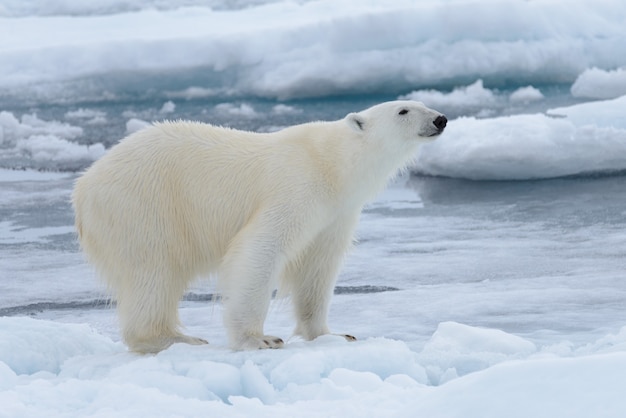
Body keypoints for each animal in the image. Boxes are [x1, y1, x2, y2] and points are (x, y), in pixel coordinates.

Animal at [72, 101, 444, 352]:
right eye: (404, 110)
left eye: (423, 103)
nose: (440, 119)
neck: (332, 164)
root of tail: (83, 187)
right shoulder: (297, 187)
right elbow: (260, 248)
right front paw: (259, 338)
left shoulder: (336, 213)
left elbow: (318, 267)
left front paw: (332, 334)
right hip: (143, 206)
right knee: (152, 271)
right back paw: (174, 338)